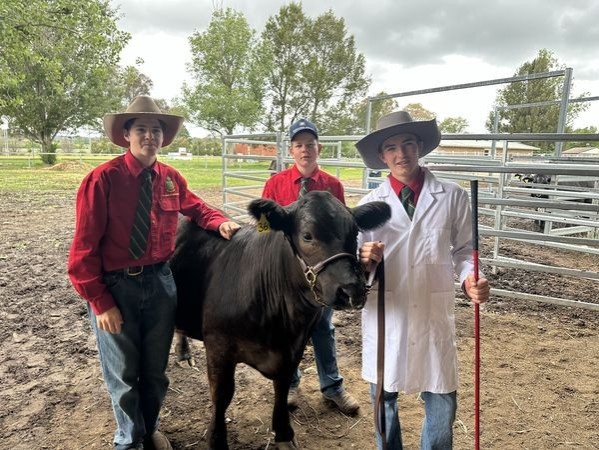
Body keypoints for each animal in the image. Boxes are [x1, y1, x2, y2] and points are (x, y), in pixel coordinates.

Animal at [170, 192, 394, 450]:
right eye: (307, 235)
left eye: (355, 233)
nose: (351, 291)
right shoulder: (218, 347)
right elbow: (222, 394)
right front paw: (217, 440)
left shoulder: (294, 347)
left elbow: (283, 387)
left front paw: (284, 433)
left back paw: (183, 352)